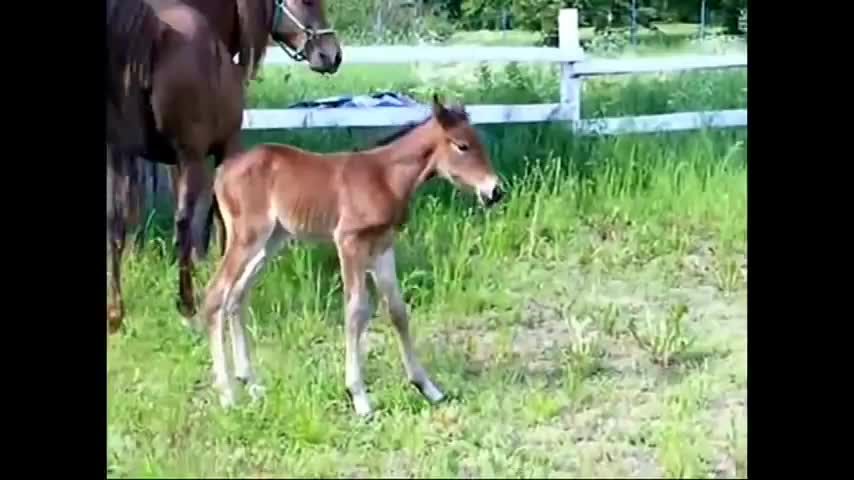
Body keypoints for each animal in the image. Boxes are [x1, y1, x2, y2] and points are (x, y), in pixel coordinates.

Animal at [203, 95, 504, 414]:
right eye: (462, 145)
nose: (495, 191)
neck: (385, 177)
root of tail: (221, 172)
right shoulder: (348, 242)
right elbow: (355, 310)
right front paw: (358, 396)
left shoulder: (382, 246)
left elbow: (397, 311)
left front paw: (427, 387)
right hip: (247, 238)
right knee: (215, 295)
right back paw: (227, 395)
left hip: (270, 242)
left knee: (237, 295)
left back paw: (251, 383)